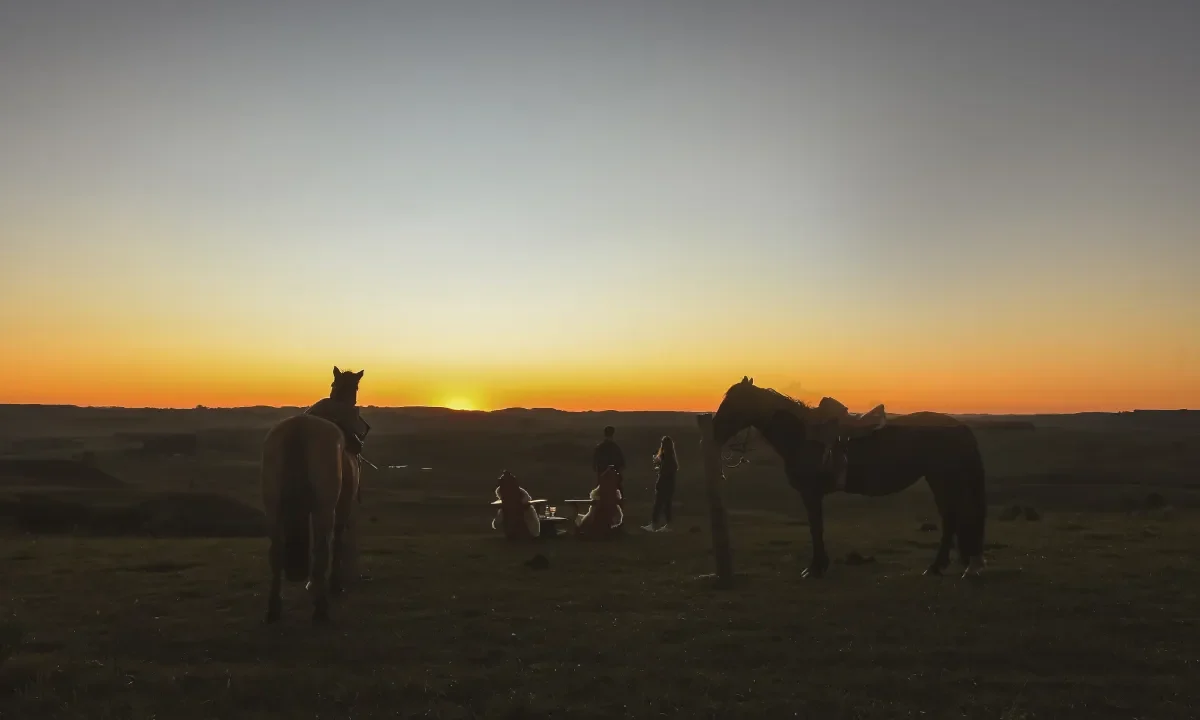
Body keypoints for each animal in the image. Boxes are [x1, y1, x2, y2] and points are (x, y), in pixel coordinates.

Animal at [261, 367, 364, 624]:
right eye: (357, 387)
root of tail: (298, 430)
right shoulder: (341, 507)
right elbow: (336, 542)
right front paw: (334, 584)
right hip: (324, 509)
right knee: (321, 550)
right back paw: (321, 608)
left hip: (273, 508)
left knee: (276, 553)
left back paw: (274, 608)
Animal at [712, 376, 987, 579]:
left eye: (734, 402)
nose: (713, 432)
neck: (802, 436)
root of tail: (959, 427)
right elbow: (816, 527)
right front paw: (818, 566)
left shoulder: (811, 493)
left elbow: (816, 527)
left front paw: (815, 568)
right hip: (939, 480)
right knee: (951, 518)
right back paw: (939, 566)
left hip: (943, 480)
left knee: (953, 517)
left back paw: (947, 566)